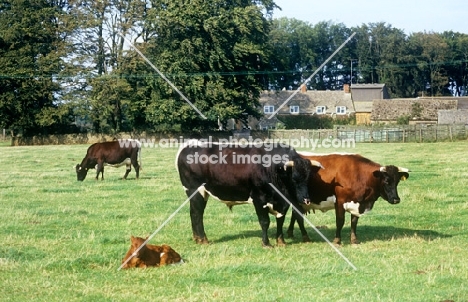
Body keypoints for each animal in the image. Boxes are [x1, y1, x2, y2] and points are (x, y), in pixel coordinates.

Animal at [174, 139, 324, 248]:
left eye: (308, 178)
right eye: (294, 178)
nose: (306, 200)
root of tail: (190, 144)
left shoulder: (283, 202)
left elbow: (280, 220)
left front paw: (281, 241)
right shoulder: (259, 199)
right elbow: (265, 222)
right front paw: (266, 243)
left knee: (195, 213)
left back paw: (197, 238)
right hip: (195, 191)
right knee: (197, 214)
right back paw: (203, 239)